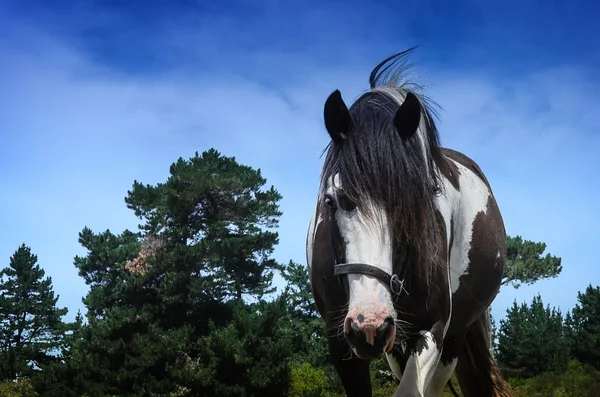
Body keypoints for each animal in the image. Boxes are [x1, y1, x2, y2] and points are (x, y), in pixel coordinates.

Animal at [308, 48, 512, 396]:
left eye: (422, 197)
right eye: (331, 200)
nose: (370, 325)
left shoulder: (433, 329)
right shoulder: (340, 338)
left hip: (452, 337)